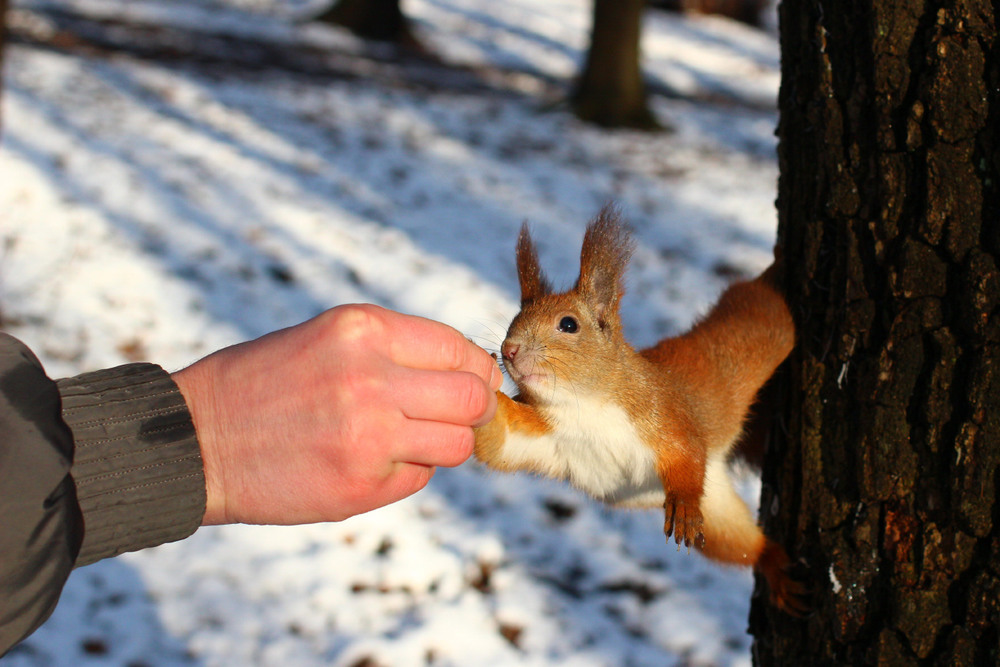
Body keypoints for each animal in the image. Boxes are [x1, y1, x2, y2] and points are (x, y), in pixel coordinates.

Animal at [474, 206, 804, 612]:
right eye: (513, 322)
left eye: (568, 324)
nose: (508, 350)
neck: (585, 407)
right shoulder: (547, 434)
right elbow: (500, 444)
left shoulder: (663, 413)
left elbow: (686, 450)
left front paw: (683, 501)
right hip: (719, 521)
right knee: (745, 547)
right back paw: (774, 566)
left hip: (760, 331)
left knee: (764, 301)